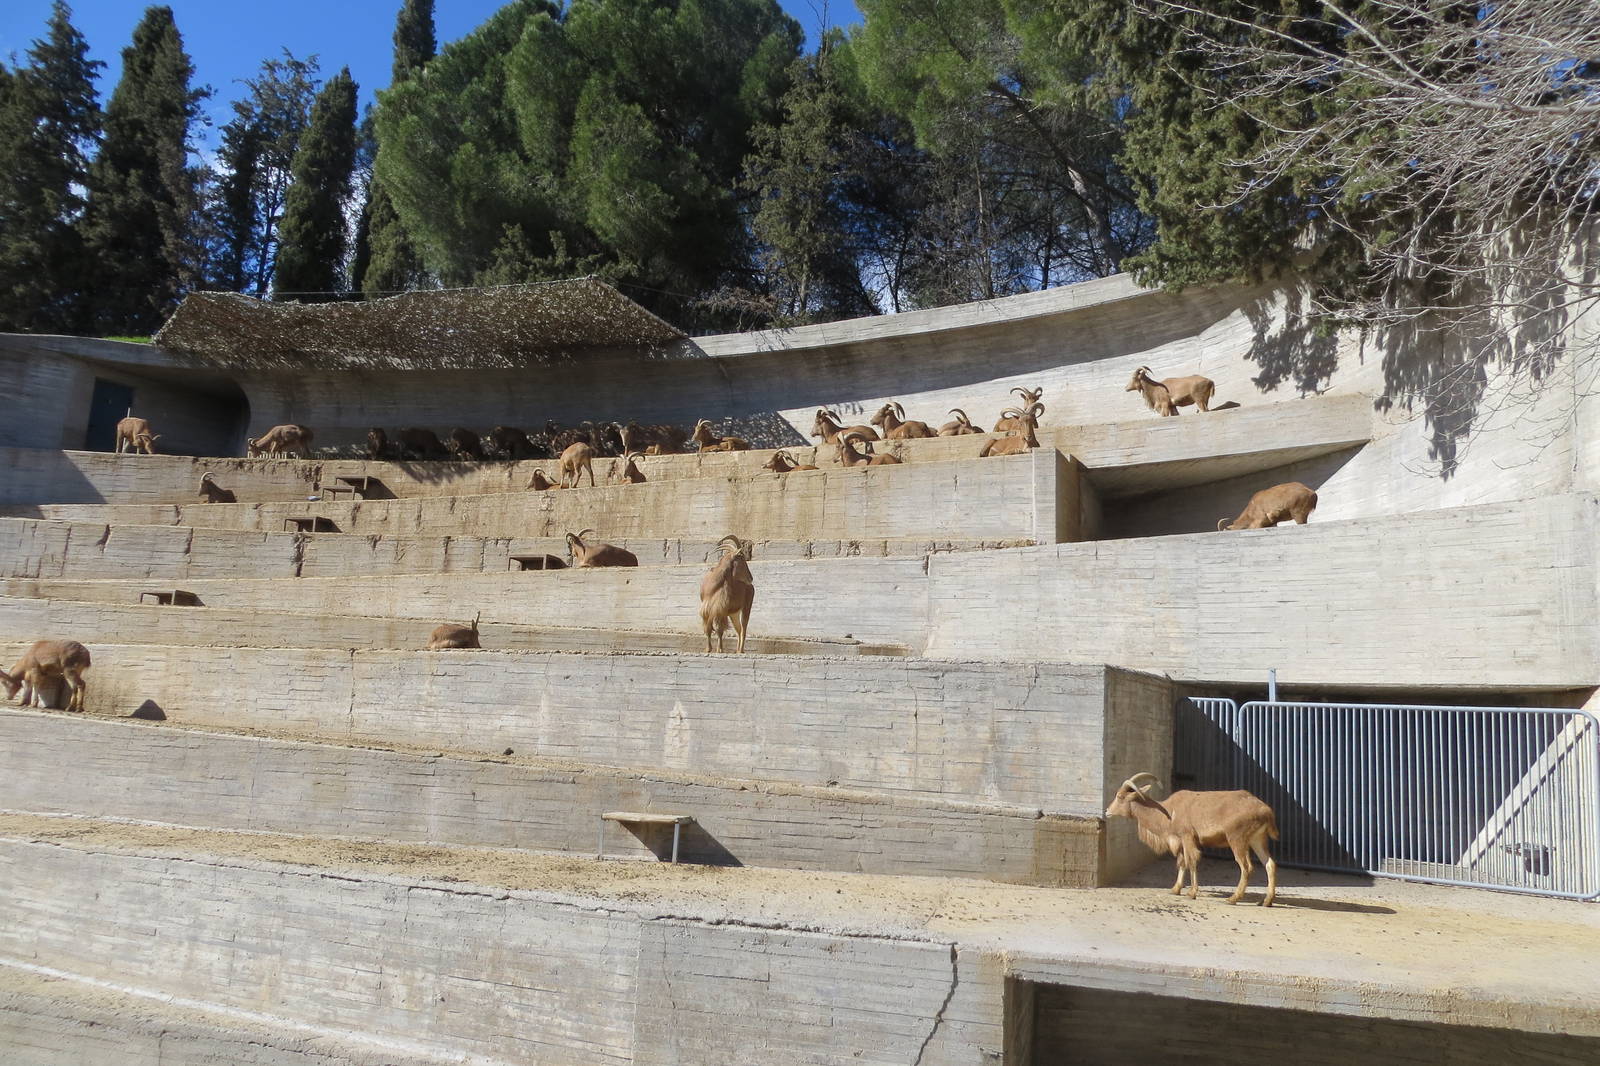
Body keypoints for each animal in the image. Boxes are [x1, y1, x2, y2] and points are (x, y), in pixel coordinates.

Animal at [1105, 772, 1279, 906]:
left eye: (1120, 796)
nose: (1107, 811)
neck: (1167, 812)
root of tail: (1266, 810)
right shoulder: (1181, 841)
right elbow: (1182, 862)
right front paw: (1175, 889)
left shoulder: (1187, 836)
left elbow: (1192, 861)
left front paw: (1192, 892)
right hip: (1257, 839)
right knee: (1269, 864)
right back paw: (1266, 901)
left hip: (1237, 839)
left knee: (1246, 867)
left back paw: (1233, 898)